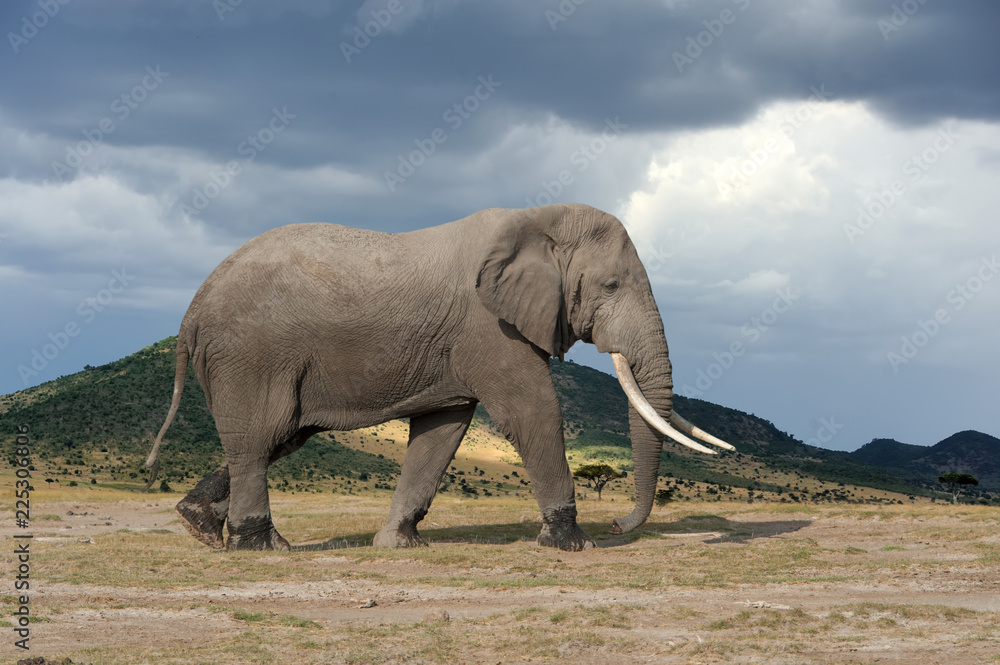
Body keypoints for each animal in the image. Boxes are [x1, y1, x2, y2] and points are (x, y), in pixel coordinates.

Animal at [144, 203, 733, 552]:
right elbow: (534, 411)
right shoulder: (489, 326)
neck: (536, 218)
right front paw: (572, 545)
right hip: (252, 354)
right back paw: (262, 549)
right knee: (258, 437)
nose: (617, 526)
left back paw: (197, 526)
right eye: (610, 286)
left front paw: (397, 545)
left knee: (280, 437)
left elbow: (442, 430)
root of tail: (192, 309)